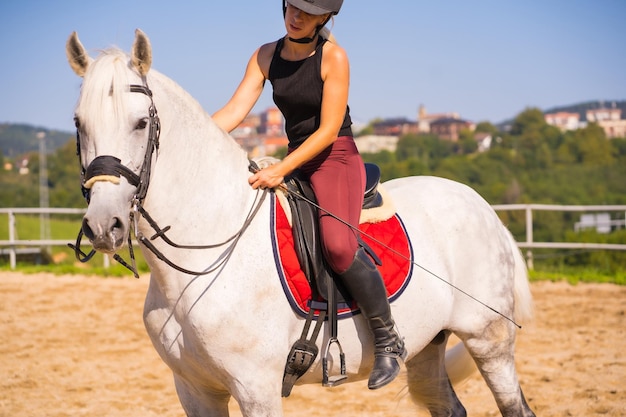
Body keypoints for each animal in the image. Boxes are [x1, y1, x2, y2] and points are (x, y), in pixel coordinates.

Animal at [66, 30, 532, 416]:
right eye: (78, 123)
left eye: (141, 123)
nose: (104, 226)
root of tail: (480, 205)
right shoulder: (195, 389)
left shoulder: (256, 388)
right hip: (427, 346)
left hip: (489, 340)